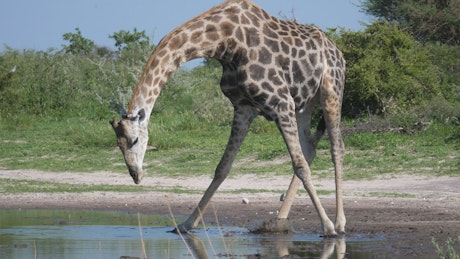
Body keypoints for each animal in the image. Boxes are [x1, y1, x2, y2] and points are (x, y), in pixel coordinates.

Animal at [110, 0, 344, 238]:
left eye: (135, 140)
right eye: (118, 145)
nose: (135, 175)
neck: (224, 41)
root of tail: (338, 51)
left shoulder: (281, 101)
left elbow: (300, 165)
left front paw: (327, 226)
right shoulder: (243, 107)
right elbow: (223, 167)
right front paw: (185, 224)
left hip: (331, 91)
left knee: (336, 148)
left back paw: (339, 223)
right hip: (304, 104)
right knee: (310, 148)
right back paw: (279, 220)